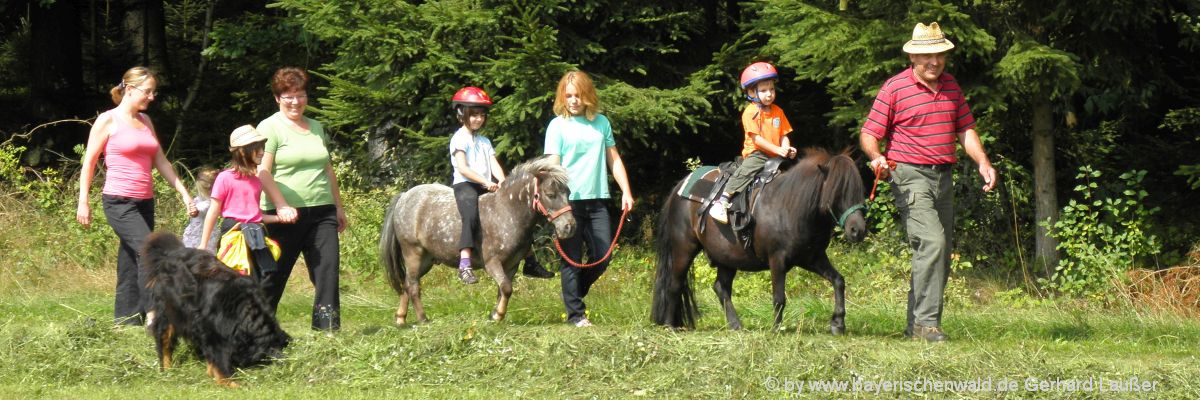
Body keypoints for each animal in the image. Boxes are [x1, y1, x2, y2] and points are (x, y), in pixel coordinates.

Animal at [139, 230, 289, 386]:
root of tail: (172, 254)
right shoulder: (213, 330)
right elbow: (220, 357)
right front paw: (229, 382)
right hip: (168, 310)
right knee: (164, 339)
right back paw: (167, 369)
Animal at [379, 156, 576, 324]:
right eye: (550, 194)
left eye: (568, 193)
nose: (570, 227)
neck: (507, 212)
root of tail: (404, 197)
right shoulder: (492, 263)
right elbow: (506, 288)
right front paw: (498, 315)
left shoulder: (511, 266)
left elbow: (503, 290)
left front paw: (495, 315)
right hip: (413, 253)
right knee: (413, 286)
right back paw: (422, 319)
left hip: (426, 260)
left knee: (406, 283)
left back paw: (401, 319)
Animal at [652, 147, 868, 331]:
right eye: (837, 191)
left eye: (859, 190)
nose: (857, 230)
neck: (791, 207)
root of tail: (679, 187)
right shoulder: (777, 259)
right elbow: (779, 297)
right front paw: (776, 329)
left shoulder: (812, 258)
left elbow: (838, 281)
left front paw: (838, 323)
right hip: (684, 248)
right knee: (674, 284)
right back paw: (670, 326)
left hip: (727, 256)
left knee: (721, 287)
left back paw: (735, 325)